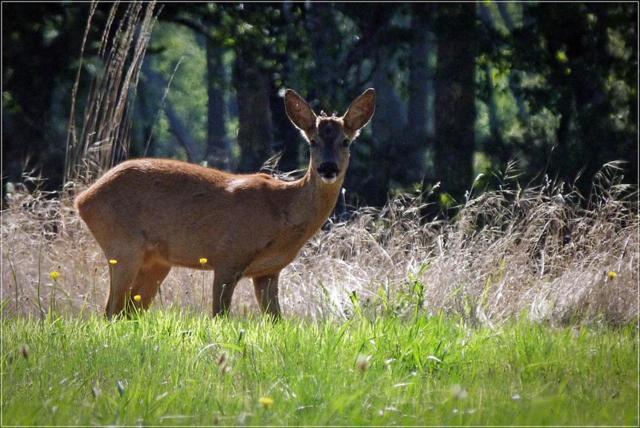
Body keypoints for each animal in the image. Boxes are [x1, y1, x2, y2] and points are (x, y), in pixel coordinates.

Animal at [75, 89, 376, 318]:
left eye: (346, 141)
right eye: (312, 141)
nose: (328, 168)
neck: (283, 212)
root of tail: (83, 199)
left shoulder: (269, 272)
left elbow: (277, 321)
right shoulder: (228, 256)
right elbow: (220, 316)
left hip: (156, 260)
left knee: (128, 311)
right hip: (122, 246)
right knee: (110, 310)